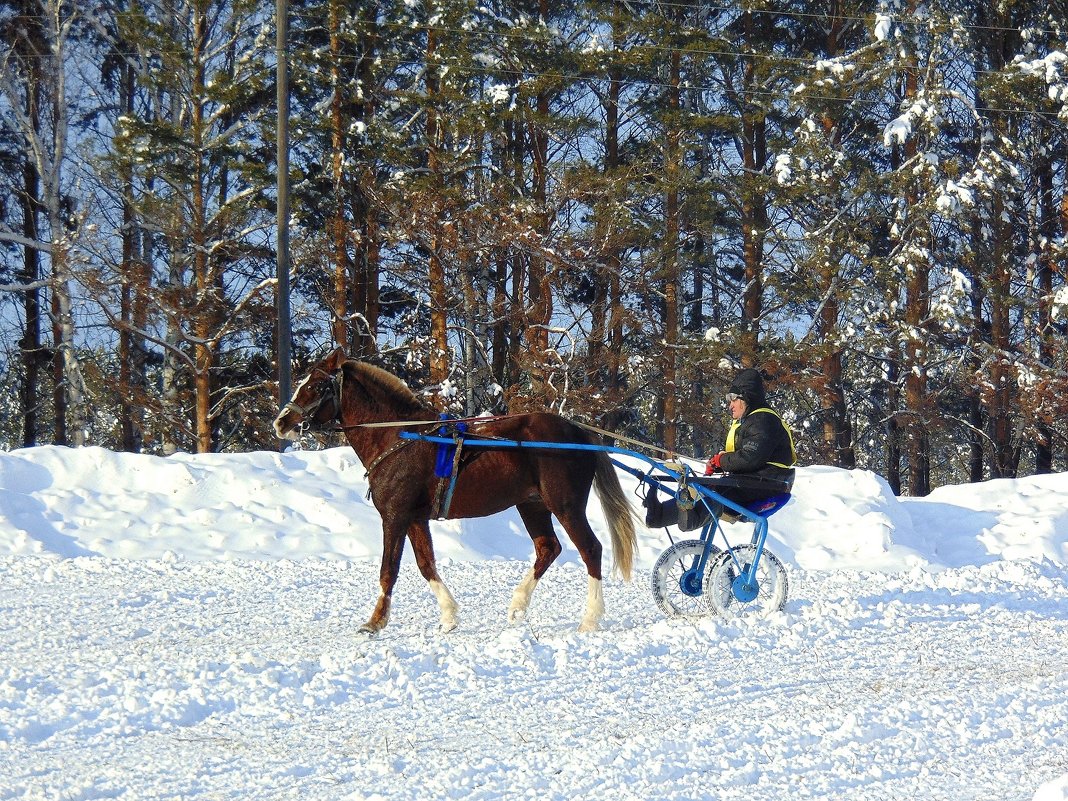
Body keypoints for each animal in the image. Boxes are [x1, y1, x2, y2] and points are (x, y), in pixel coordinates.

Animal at [275, 348, 636, 636]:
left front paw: (375, 622)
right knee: (548, 548)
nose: (281, 422)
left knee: (590, 549)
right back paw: (518, 605)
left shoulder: (394, 515)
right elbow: (426, 565)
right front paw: (449, 616)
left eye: (315, 385)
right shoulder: (415, 518)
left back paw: (590, 619)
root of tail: (579, 433)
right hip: (532, 505)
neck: (400, 436)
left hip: (565, 504)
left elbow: (388, 571)